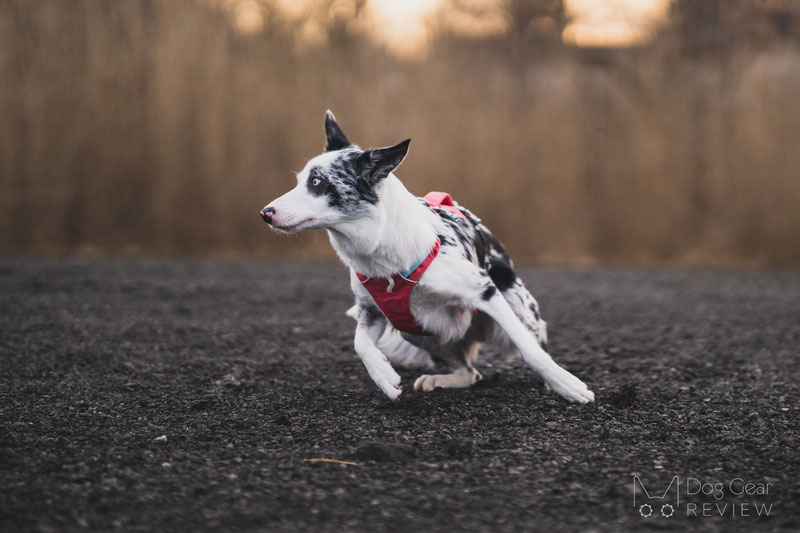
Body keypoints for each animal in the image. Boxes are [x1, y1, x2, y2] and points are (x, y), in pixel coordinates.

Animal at [260, 112, 592, 404]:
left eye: (317, 182)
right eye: (301, 180)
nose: (265, 213)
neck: (382, 254)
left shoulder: (484, 291)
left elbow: (530, 350)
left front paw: (565, 384)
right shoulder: (372, 310)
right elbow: (360, 343)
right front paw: (384, 377)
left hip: (517, 306)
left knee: (528, 343)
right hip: (419, 333)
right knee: (469, 372)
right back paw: (440, 379)